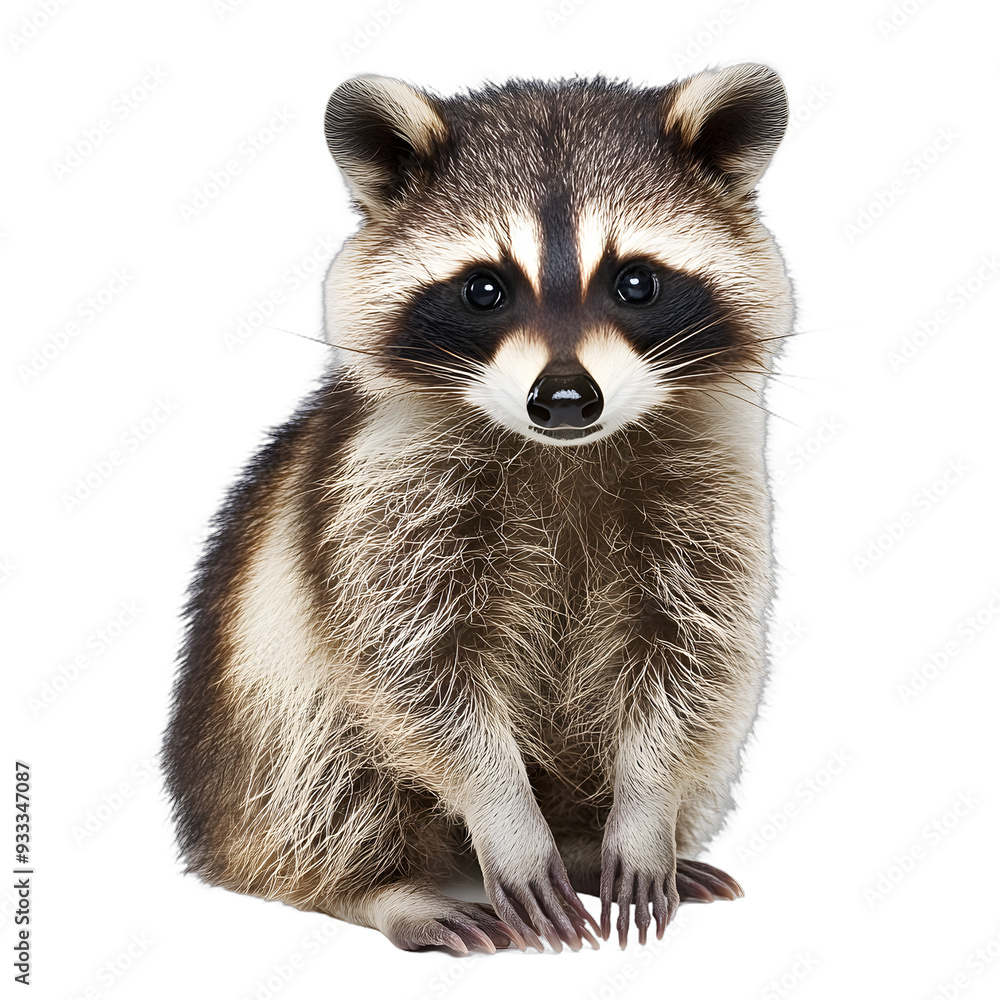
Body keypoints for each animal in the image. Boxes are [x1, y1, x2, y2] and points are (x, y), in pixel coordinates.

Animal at [163, 63, 793, 954]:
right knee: (322, 778)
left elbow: (692, 660)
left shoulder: (714, 485)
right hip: (252, 722)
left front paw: (641, 817)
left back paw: (588, 845)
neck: (565, 452)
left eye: (636, 282)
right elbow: (415, 670)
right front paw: (507, 821)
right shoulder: (379, 487)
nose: (563, 398)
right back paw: (388, 887)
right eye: (484, 289)